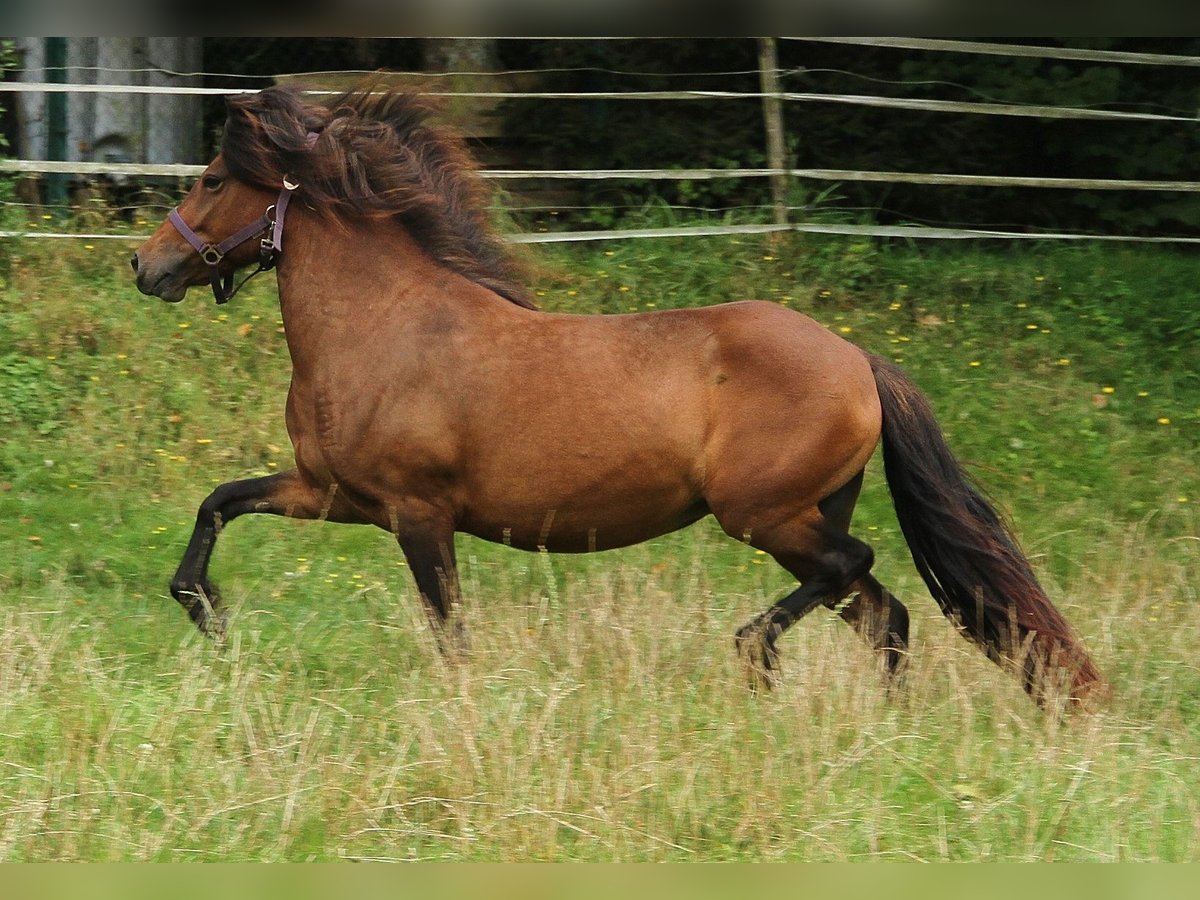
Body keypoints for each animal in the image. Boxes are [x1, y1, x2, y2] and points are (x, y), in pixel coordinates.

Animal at [131, 82, 1104, 705]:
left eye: (212, 180)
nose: (148, 266)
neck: (386, 326)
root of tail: (859, 360)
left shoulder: (417, 514)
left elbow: (450, 635)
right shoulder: (333, 494)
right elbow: (220, 501)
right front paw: (207, 613)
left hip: (765, 514)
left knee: (855, 576)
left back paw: (754, 656)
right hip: (800, 518)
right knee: (885, 615)